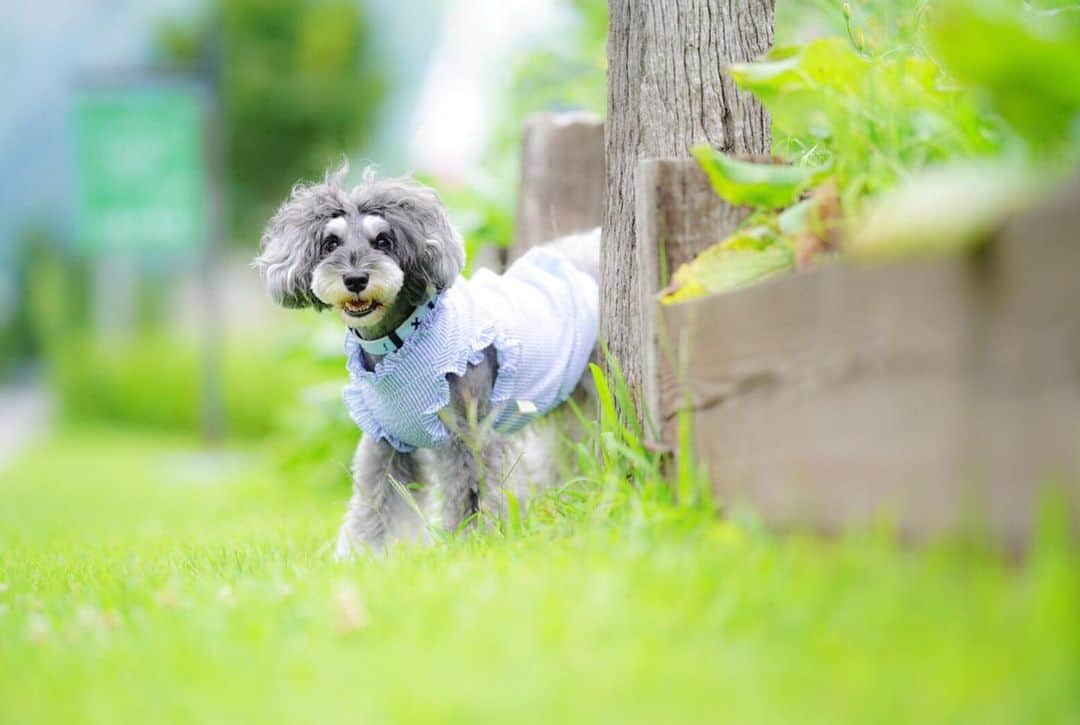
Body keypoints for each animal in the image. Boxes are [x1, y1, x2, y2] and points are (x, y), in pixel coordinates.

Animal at [258, 167, 604, 557]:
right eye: (331, 244)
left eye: (383, 241)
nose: (356, 278)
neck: (402, 339)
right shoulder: (387, 441)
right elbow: (376, 501)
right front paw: (363, 556)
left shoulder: (471, 434)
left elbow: (472, 494)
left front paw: (472, 542)